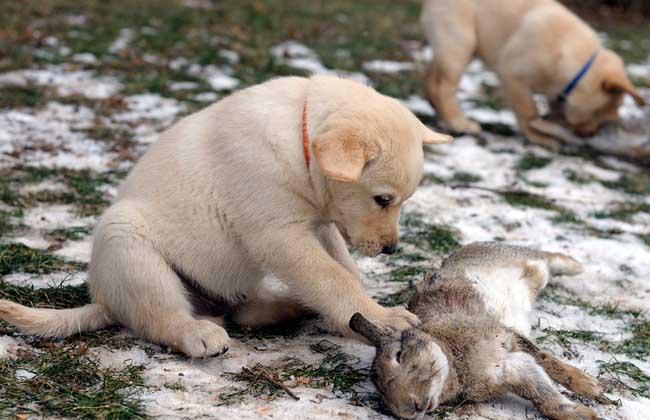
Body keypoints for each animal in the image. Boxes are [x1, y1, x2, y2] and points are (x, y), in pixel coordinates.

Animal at [0, 76, 450, 358]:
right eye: (382, 199)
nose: (391, 250)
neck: (298, 138)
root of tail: (105, 300)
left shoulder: (320, 226)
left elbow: (344, 270)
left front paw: (364, 314)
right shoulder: (280, 235)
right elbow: (332, 278)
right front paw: (380, 318)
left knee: (245, 312)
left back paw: (293, 307)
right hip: (126, 241)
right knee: (159, 316)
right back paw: (195, 333)